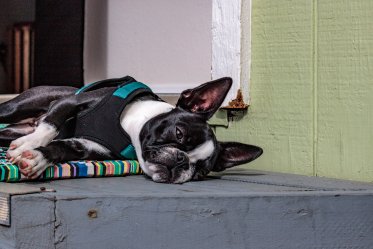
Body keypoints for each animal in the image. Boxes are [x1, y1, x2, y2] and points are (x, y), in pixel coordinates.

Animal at [0, 77, 262, 184]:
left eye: (200, 171)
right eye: (178, 133)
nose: (181, 160)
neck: (128, 132)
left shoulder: (88, 147)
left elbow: (61, 146)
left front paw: (38, 159)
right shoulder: (69, 103)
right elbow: (51, 125)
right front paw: (29, 144)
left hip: (10, 130)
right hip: (19, 107)